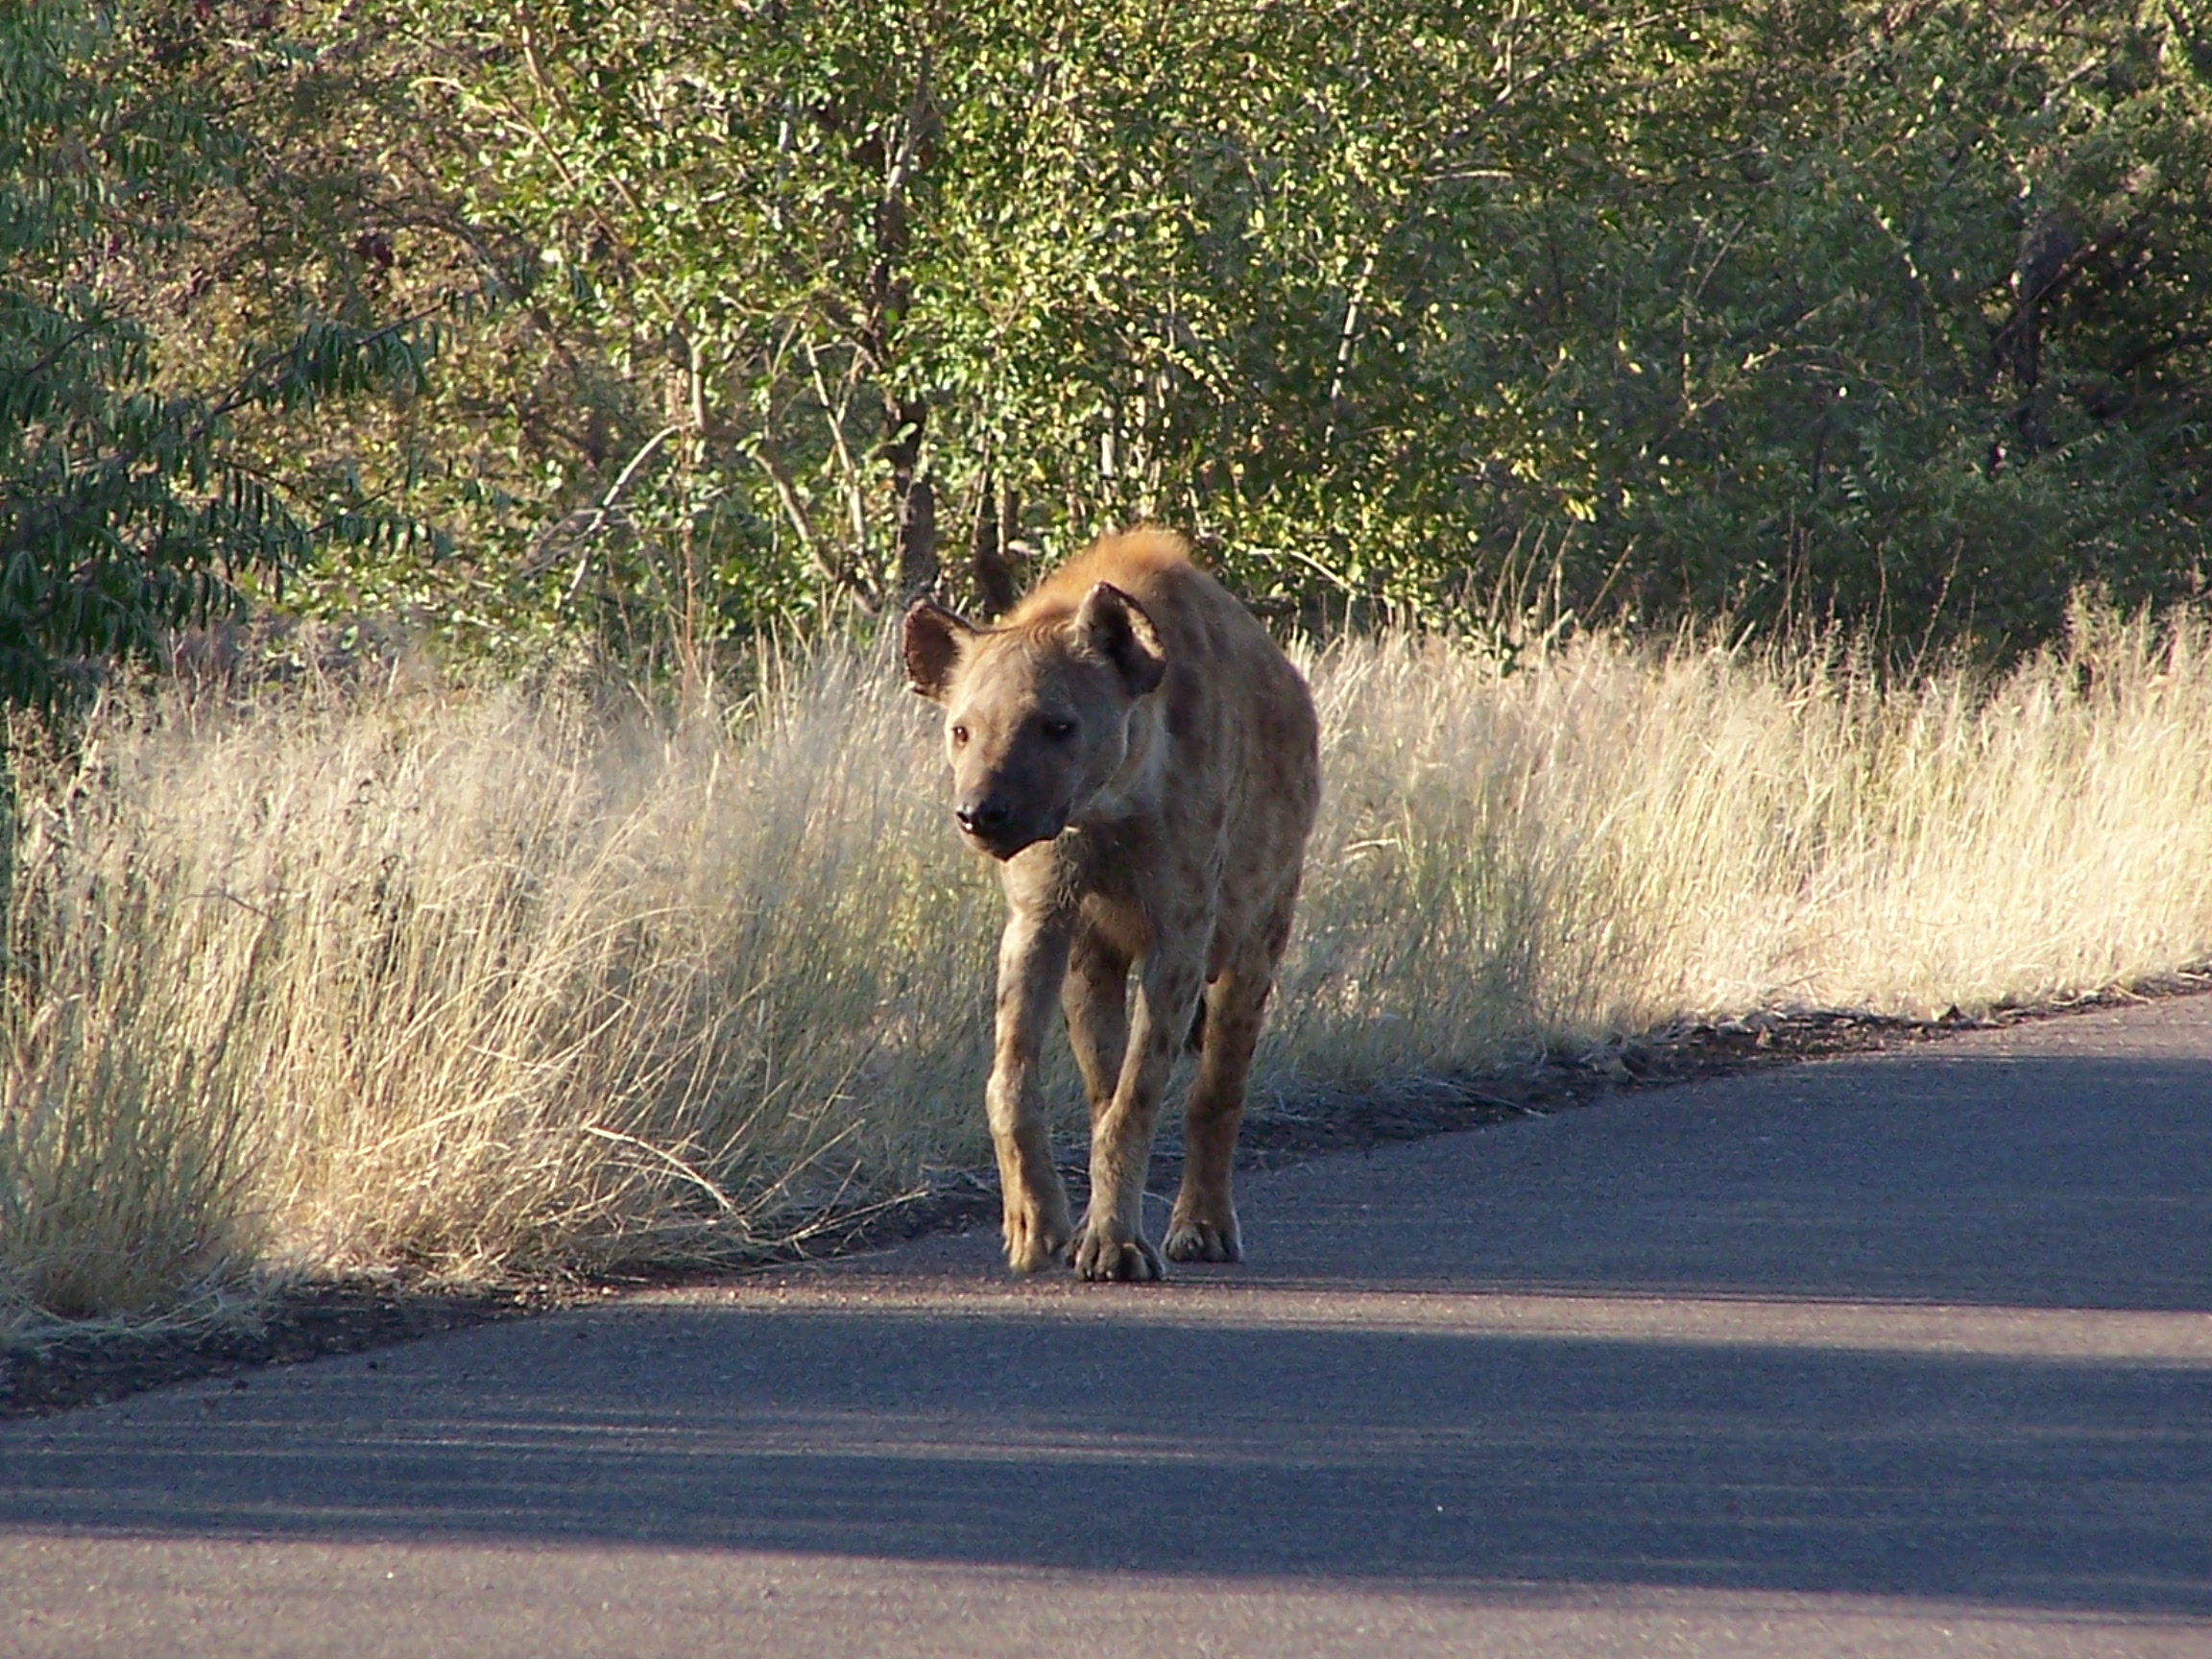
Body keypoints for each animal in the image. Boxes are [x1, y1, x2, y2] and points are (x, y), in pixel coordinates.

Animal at [901, 529, 1320, 1280]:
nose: (981, 813)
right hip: (1091, 958)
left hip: (1262, 920)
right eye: (962, 730)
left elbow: (1143, 1095)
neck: (1106, 811)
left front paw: (1119, 1246)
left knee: (1219, 1079)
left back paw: (1203, 1228)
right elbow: (1013, 1080)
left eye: (1057, 725)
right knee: (1099, 1069)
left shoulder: (1183, 925)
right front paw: (1036, 1226)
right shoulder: (1042, 910)